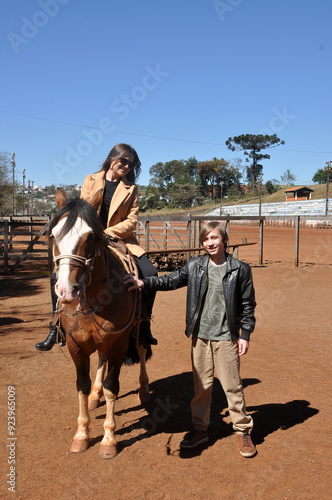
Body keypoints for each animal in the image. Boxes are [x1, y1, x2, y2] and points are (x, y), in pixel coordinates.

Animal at [50, 189, 150, 458]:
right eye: (53, 235)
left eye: (91, 236)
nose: (66, 291)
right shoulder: (76, 346)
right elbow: (82, 385)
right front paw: (82, 435)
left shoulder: (118, 344)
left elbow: (111, 387)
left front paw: (108, 439)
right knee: (100, 363)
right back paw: (96, 396)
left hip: (138, 332)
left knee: (142, 350)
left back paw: (144, 390)